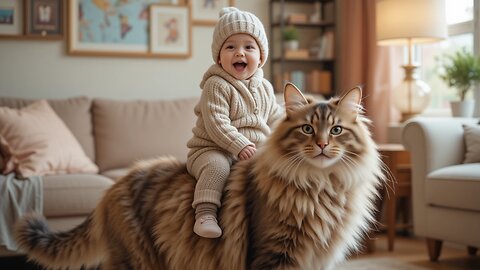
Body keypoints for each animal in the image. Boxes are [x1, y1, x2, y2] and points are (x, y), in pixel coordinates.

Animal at [15, 83, 384, 268]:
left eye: (336, 130)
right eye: (307, 129)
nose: (322, 145)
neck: (320, 188)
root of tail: (113, 187)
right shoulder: (273, 253)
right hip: (139, 261)